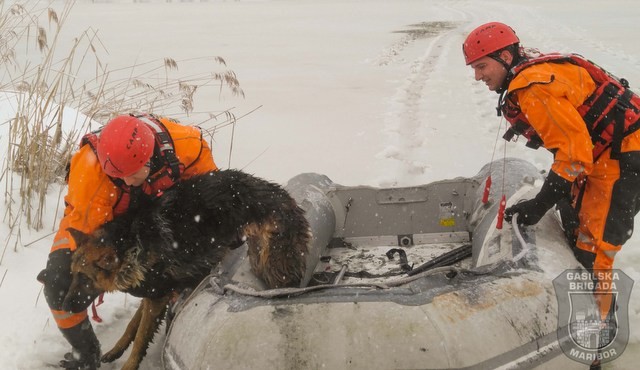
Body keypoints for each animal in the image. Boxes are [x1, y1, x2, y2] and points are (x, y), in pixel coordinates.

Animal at [62, 170, 310, 370]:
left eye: (85, 279)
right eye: (72, 275)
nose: (64, 307)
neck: (133, 242)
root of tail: (286, 197)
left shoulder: (157, 298)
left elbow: (141, 337)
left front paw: (129, 363)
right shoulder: (154, 293)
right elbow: (133, 324)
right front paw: (117, 349)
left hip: (272, 265)